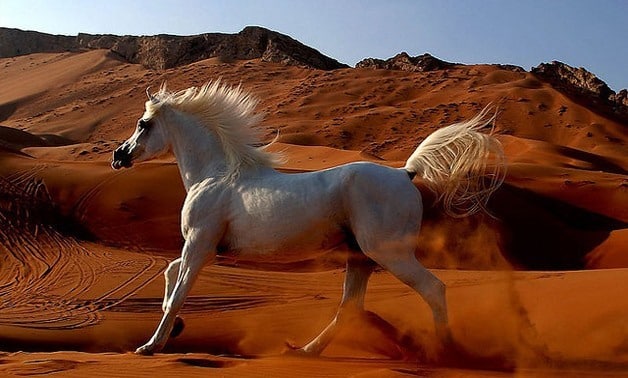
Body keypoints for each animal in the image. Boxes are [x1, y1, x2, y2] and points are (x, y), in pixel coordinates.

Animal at [111, 81, 506, 356]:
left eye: (143, 124)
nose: (118, 156)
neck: (215, 175)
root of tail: (405, 173)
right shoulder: (203, 247)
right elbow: (169, 274)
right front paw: (174, 328)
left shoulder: (199, 245)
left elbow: (178, 291)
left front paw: (151, 346)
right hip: (360, 257)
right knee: (350, 308)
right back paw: (304, 351)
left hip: (388, 253)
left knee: (433, 289)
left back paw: (447, 352)